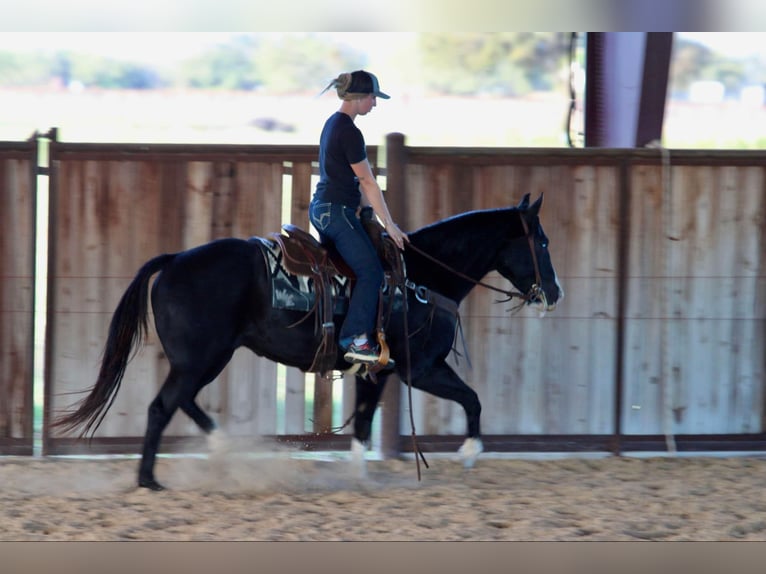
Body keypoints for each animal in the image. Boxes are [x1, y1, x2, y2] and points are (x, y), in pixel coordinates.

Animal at [53, 193, 563, 491]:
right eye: (541, 242)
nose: (554, 293)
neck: (420, 276)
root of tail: (175, 259)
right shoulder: (421, 369)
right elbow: (473, 400)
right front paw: (470, 453)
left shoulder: (378, 371)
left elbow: (363, 422)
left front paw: (358, 475)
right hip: (201, 358)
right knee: (163, 407)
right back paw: (149, 480)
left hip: (205, 359)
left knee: (184, 402)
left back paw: (219, 449)